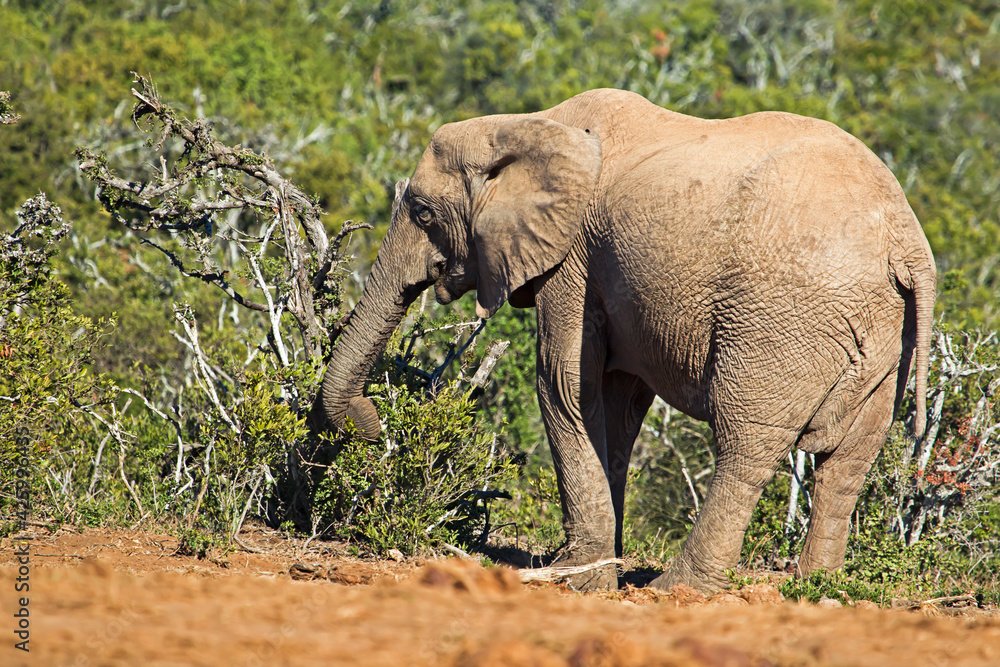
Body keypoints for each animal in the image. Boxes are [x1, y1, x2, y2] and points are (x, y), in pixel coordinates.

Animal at [316, 88, 936, 593]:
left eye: (422, 213)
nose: (373, 422)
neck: (529, 125)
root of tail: (906, 242)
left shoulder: (572, 260)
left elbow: (563, 386)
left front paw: (576, 578)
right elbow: (616, 403)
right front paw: (601, 568)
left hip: (782, 320)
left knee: (747, 444)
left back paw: (677, 588)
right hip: (884, 333)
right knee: (848, 461)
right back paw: (815, 587)